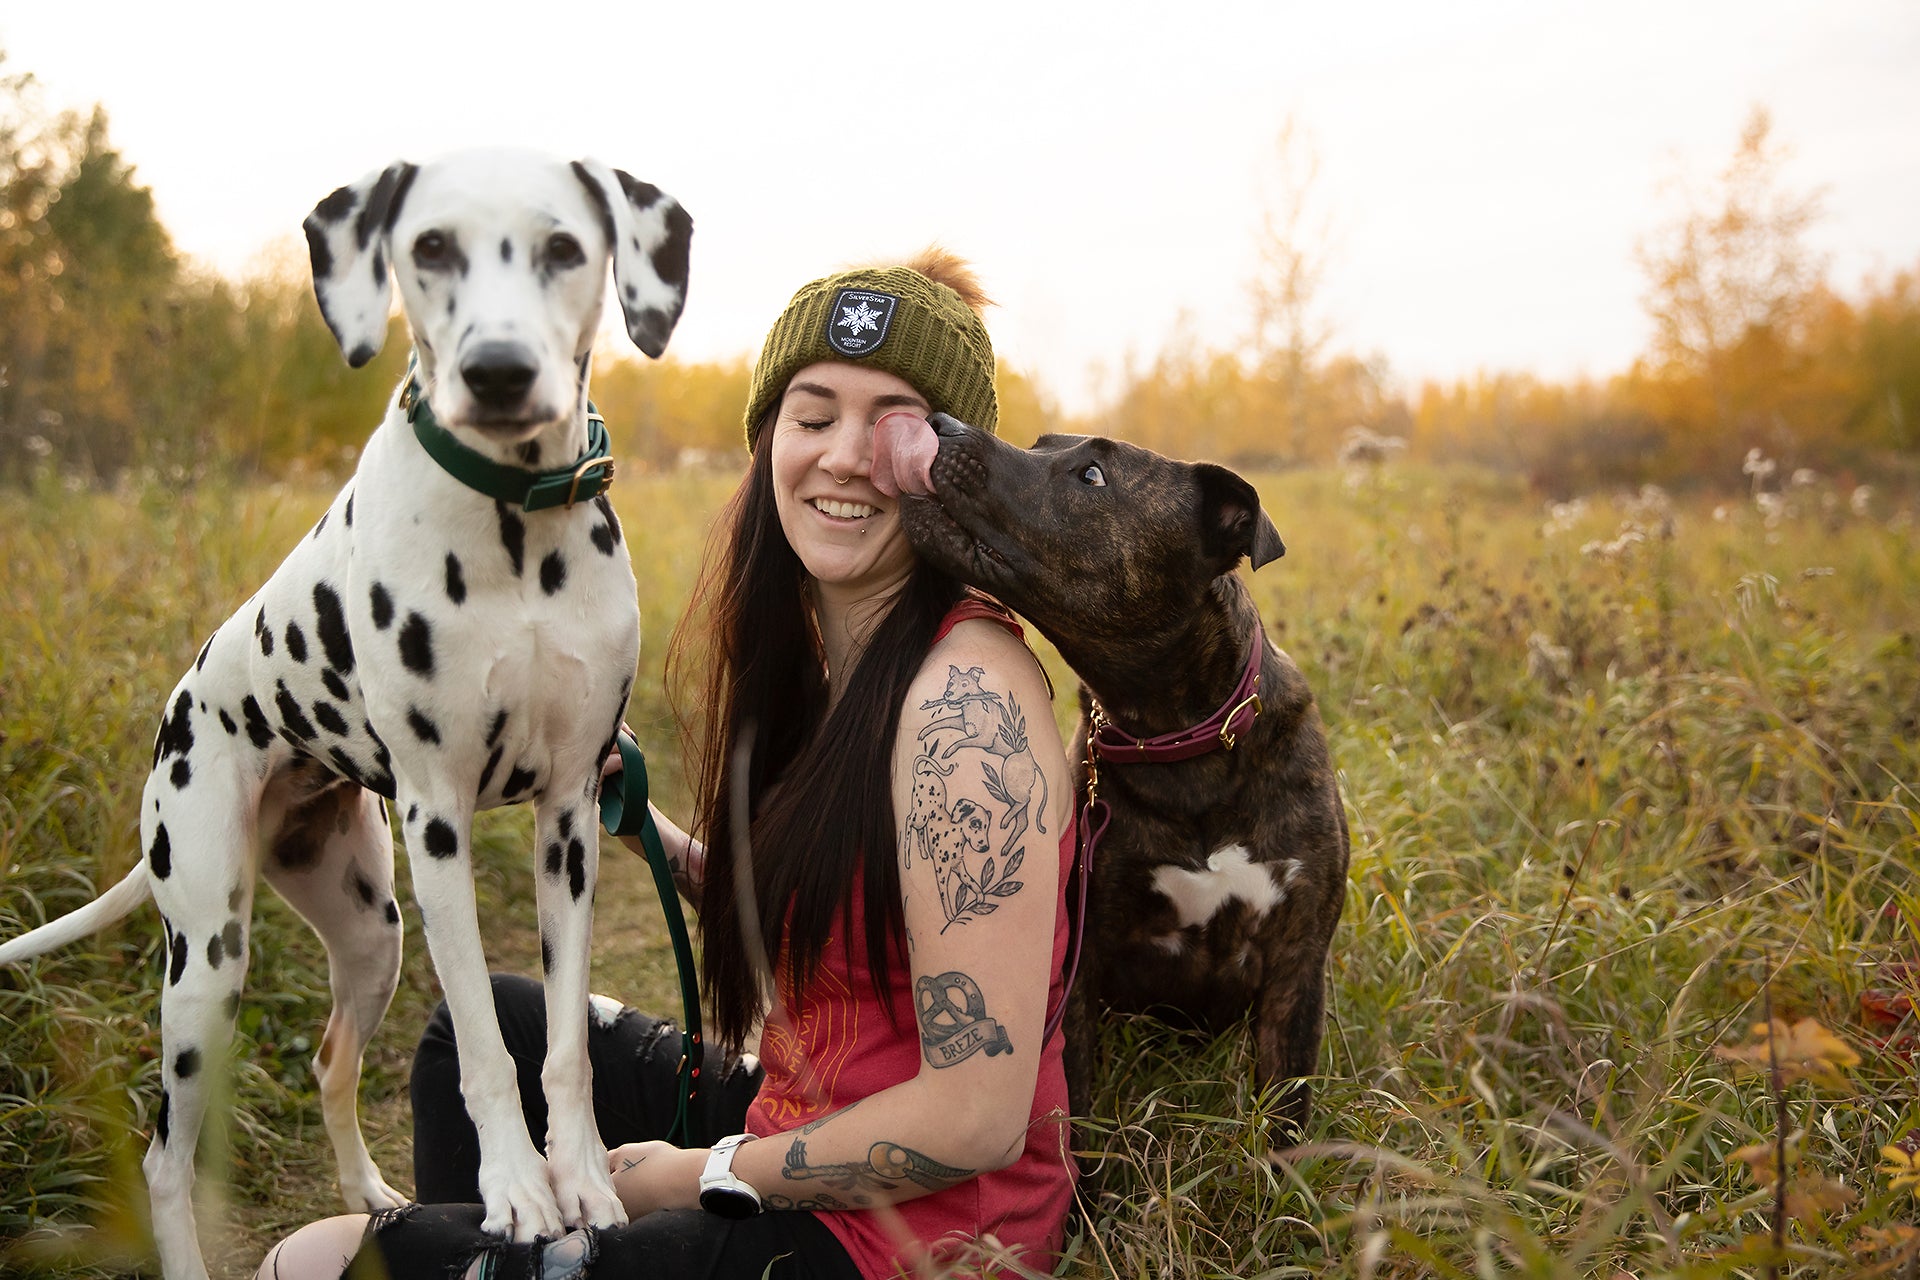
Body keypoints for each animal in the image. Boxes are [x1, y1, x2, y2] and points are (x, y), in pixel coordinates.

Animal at [0, 150, 691, 1280]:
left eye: (563, 247)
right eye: (431, 246)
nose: (498, 370)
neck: (516, 519)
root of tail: (177, 716)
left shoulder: (572, 819)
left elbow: (563, 1047)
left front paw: (583, 1180)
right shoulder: (439, 821)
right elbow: (487, 1044)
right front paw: (516, 1192)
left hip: (371, 931)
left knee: (331, 1061)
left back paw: (372, 1200)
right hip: (207, 963)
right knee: (163, 1157)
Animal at [898, 416, 1351, 1143]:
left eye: (1092, 476)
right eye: (1042, 444)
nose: (943, 423)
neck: (1182, 745)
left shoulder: (1296, 965)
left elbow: (1285, 1118)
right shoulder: (1082, 966)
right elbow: (1076, 1107)